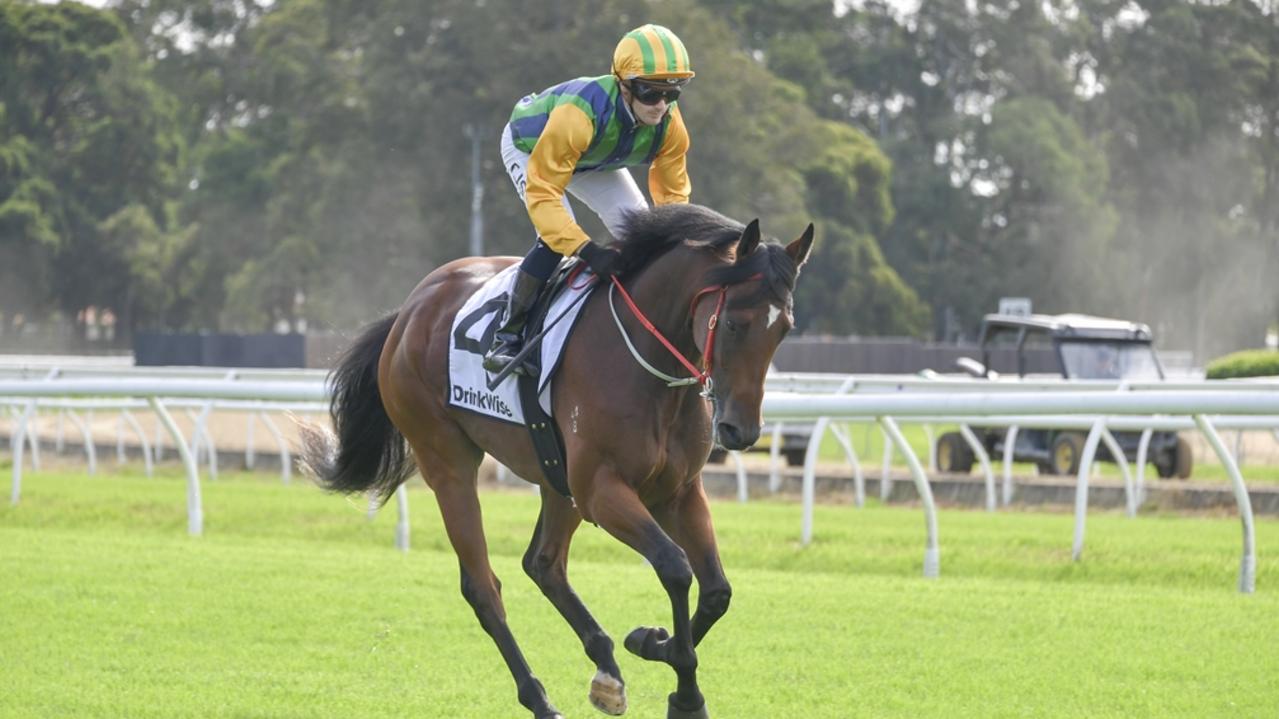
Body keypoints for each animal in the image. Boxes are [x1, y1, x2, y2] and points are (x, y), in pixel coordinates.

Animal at [301, 203, 808, 716]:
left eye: (784, 328)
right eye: (734, 324)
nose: (741, 431)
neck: (648, 367)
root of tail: (407, 312)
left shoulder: (678, 492)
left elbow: (717, 590)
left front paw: (651, 643)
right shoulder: (601, 489)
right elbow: (675, 566)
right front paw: (685, 692)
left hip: (554, 475)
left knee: (543, 563)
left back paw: (605, 666)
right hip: (446, 460)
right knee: (483, 587)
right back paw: (539, 697)